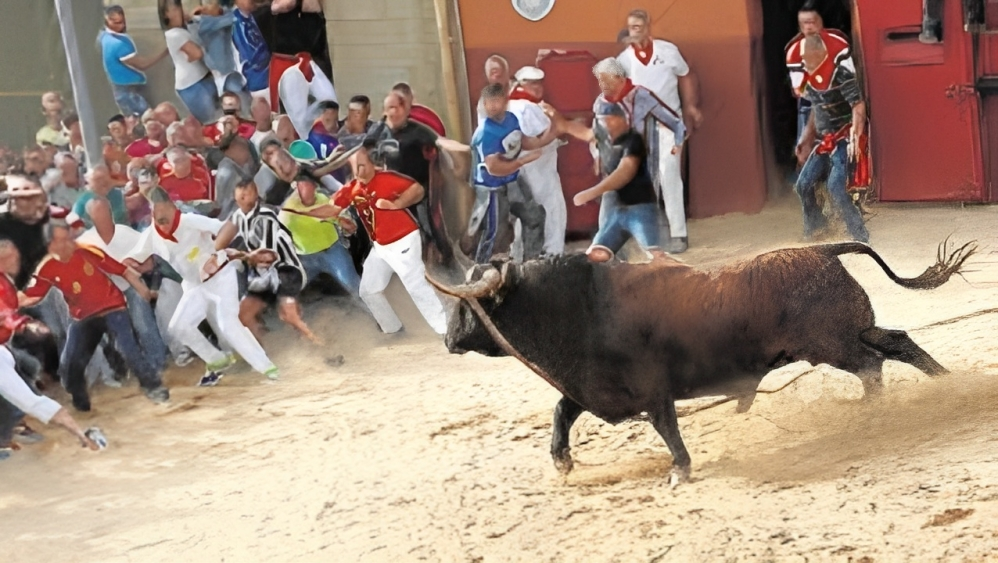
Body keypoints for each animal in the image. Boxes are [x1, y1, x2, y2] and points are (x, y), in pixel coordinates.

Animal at [430, 241, 976, 484]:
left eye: (468, 305)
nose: (448, 340)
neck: (582, 306)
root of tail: (820, 248)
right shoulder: (592, 388)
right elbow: (562, 411)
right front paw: (562, 461)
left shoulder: (652, 391)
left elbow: (667, 428)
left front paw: (680, 471)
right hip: (846, 334)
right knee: (896, 344)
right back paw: (946, 386)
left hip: (832, 344)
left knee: (872, 364)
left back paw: (876, 413)